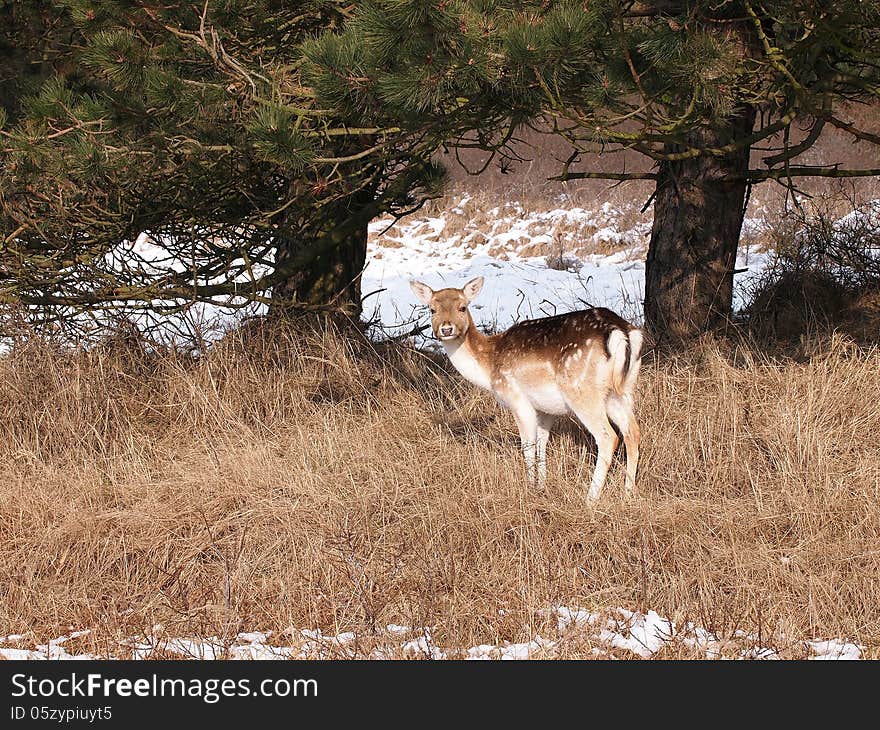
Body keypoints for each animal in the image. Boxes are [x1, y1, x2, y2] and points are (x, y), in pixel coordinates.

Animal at [410, 276, 644, 498]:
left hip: (581, 390)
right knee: (633, 432)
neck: (489, 365)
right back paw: (628, 493)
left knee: (608, 437)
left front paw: (530, 487)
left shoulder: (517, 398)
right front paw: (542, 485)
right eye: (432, 309)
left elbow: (528, 445)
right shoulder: (545, 409)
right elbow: (542, 443)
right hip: (622, 390)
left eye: (462, 307)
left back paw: (591, 498)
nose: (446, 328)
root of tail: (622, 332)